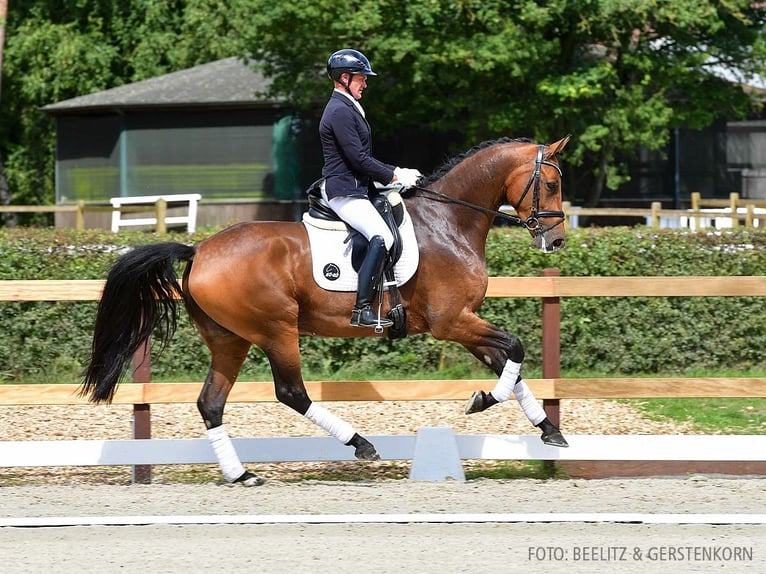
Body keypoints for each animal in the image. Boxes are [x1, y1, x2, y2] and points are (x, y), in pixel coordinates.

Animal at [79, 135, 568, 486]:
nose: (557, 241)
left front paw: (549, 431)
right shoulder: (452, 322)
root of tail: (198, 250)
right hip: (276, 329)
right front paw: (483, 400)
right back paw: (360, 444)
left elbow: (510, 367)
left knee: (211, 403)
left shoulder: (464, 322)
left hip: (228, 338)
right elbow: (516, 350)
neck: (448, 225)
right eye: (551, 184)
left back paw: (242, 474)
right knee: (291, 392)